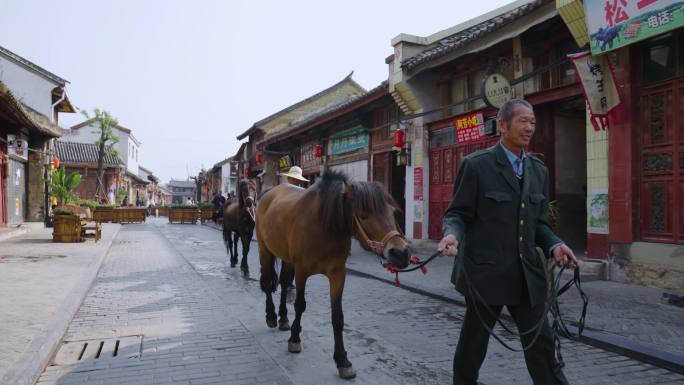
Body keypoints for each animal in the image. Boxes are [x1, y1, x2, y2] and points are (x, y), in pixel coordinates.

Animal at [254, 169, 408, 378]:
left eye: (393, 212)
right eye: (364, 215)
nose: (401, 253)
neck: (324, 225)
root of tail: (268, 193)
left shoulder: (337, 274)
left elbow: (337, 317)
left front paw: (342, 360)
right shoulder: (302, 271)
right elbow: (300, 305)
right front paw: (295, 339)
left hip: (287, 259)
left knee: (284, 283)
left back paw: (283, 318)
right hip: (264, 250)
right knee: (268, 282)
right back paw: (271, 316)